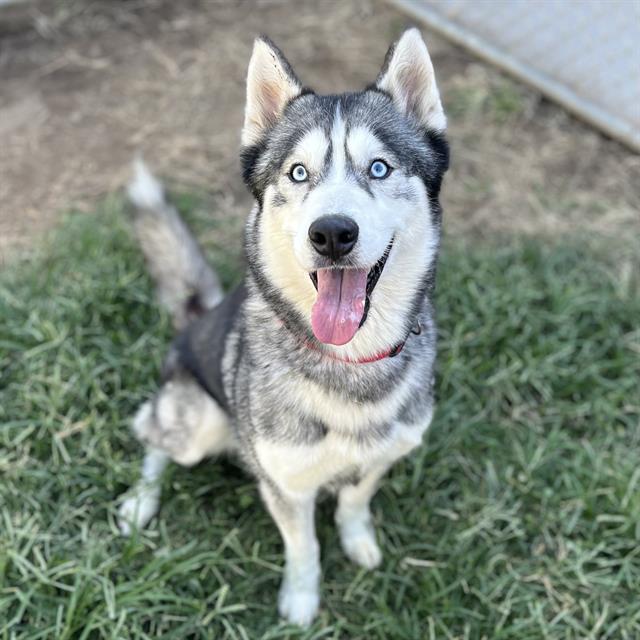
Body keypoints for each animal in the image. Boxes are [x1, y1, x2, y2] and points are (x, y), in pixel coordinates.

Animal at [120, 28, 450, 624]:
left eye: (380, 168)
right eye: (298, 172)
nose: (332, 232)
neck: (350, 363)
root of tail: (201, 314)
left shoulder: (382, 456)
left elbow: (354, 501)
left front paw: (358, 540)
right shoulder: (286, 485)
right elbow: (304, 546)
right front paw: (300, 600)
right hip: (198, 423)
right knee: (151, 432)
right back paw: (140, 500)